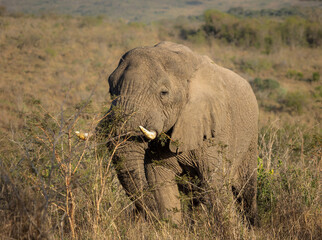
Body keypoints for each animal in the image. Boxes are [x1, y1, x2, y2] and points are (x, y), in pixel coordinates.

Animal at [97, 40, 258, 225]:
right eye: (111, 91)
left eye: (164, 93)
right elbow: (161, 182)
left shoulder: (215, 130)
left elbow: (214, 183)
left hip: (250, 140)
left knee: (245, 190)